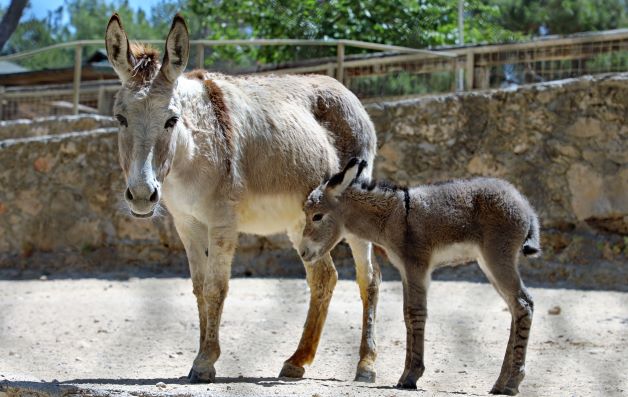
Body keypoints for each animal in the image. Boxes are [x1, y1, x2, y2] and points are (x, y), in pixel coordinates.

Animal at [300, 157, 540, 392]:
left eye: (317, 216)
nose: (302, 253)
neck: (393, 216)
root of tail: (525, 205)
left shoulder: (417, 267)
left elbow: (416, 312)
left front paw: (411, 376)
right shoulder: (406, 271)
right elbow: (407, 314)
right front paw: (406, 375)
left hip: (498, 258)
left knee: (523, 304)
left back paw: (512, 382)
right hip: (488, 263)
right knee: (516, 307)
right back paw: (500, 383)